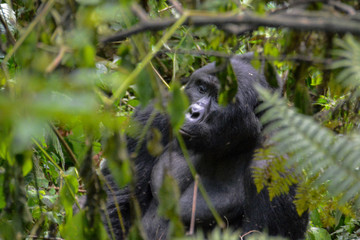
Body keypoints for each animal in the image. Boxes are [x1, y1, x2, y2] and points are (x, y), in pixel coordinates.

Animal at [101, 53, 310, 240]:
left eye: (220, 98)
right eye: (202, 88)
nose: (194, 112)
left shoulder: (275, 165)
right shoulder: (153, 115)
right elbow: (118, 199)